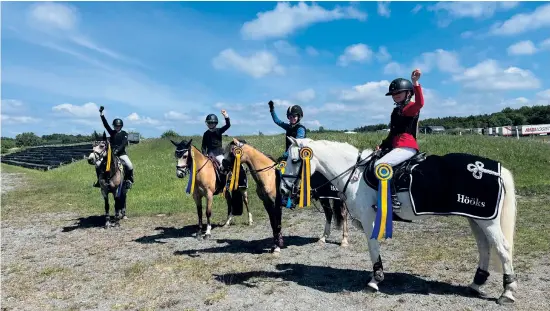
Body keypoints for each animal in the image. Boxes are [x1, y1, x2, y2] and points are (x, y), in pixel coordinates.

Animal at [282, 138, 520, 306]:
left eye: (295, 160)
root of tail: (494, 169)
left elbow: (373, 247)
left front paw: (375, 280)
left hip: (488, 222)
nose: (284, 190)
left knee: (503, 249)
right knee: (484, 247)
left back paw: (507, 292)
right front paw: (375, 276)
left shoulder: (369, 219)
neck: (355, 174)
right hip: (476, 219)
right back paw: (476, 283)